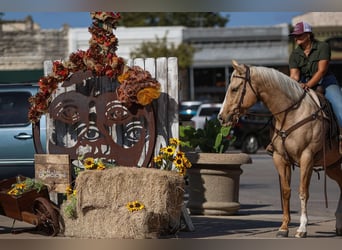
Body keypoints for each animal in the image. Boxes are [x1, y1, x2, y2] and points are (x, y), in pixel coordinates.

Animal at [219, 59, 342, 237]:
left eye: (234, 88)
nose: (221, 117)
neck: (291, 113)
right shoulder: (280, 158)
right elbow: (285, 191)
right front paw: (284, 227)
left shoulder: (307, 157)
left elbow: (303, 191)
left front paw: (302, 228)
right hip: (333, 166)